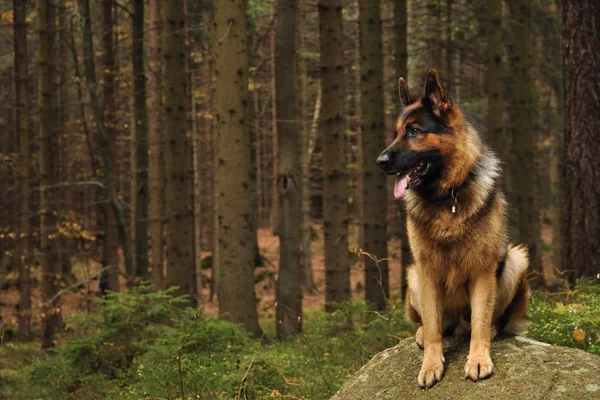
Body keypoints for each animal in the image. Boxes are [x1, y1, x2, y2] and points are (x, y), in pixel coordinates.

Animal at [378, 69, 532, 388]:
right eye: (396, 132)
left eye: (414, 131)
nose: (380, 161)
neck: (447, 196)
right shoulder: (426, 269)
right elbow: (434, 328)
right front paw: (430, 364)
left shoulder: (483, 270)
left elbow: (480, 323)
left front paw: (478, 359)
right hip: (413, 276)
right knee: (438, 323)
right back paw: (423, 333)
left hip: (516, 260)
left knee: (484, 321)